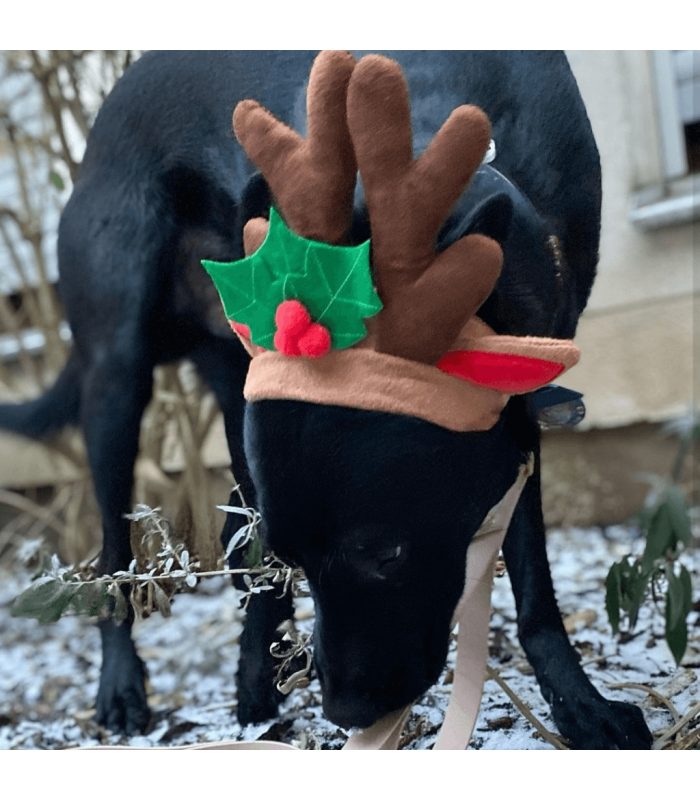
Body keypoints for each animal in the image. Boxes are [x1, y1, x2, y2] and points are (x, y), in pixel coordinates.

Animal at [1, 53, 656, 748]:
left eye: (386, 553)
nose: (346, 714)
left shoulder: (518, 408)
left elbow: (533, 577)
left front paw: (580, 703)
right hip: (117, 379)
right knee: (116, 552)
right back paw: (123, 687)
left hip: (238, 379)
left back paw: (254, 680)